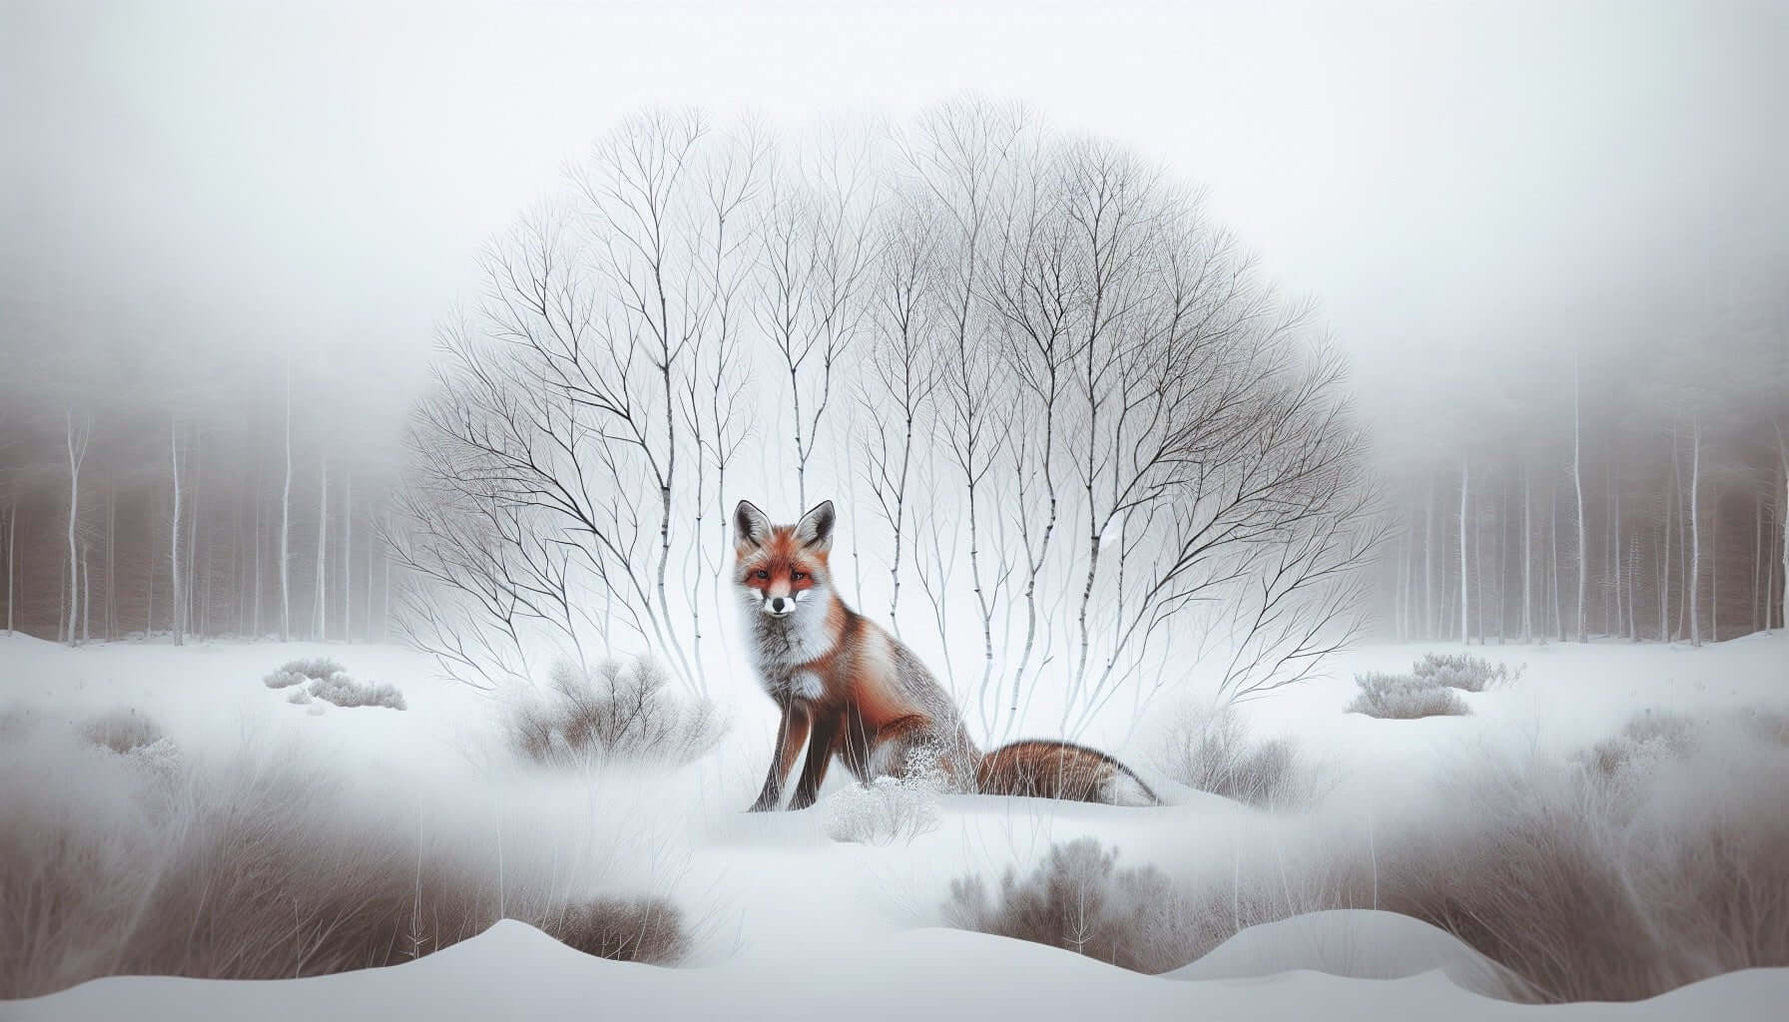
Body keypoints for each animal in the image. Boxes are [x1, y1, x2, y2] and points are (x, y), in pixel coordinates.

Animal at [734, 498, 1157, 811]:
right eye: (762, 575)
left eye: (798, 575)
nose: (777, 603)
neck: (789, 653)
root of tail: (977, 765)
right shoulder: (794, 710)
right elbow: (776, 774)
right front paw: (758, 815)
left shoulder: (829, 710)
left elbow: (806, 781)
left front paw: (795, 816)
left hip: (887, 746)